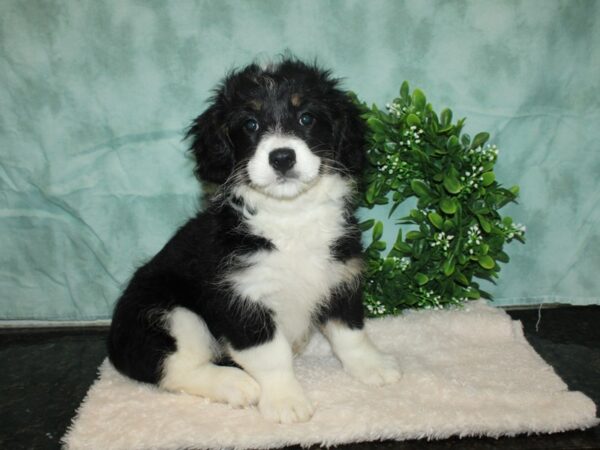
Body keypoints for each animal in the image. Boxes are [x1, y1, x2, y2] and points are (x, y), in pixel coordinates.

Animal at [108, 59, 400, 422]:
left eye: (306, 118)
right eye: (250, 124)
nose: (282, 157)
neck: (290, 216)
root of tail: (113, 347)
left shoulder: (340, 276)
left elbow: (351, 332)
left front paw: (372, 366)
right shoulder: (241, 297)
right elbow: (271, 355)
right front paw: (286, 400)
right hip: (168, 313)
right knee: (176, 367)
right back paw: (235, 383)